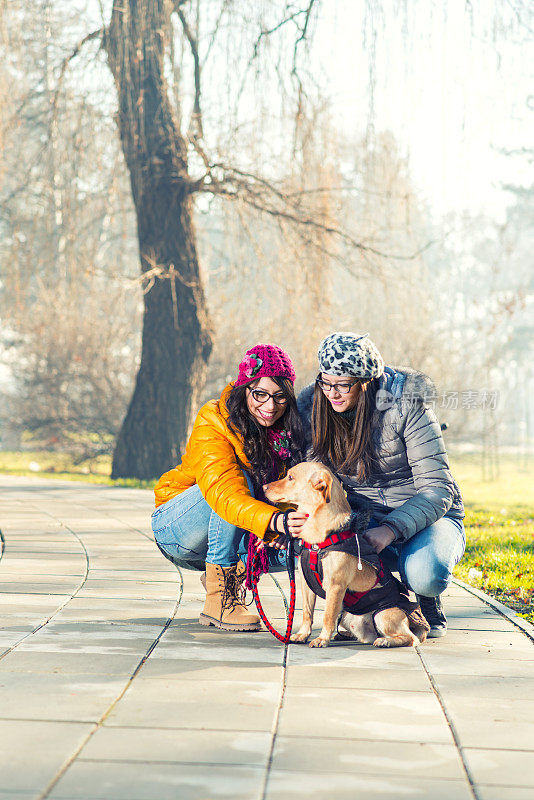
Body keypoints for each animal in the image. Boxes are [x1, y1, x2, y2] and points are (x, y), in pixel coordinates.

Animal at [264, 462, 432, 648]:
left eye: (290, 477)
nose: (264, 487)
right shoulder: (306, 584)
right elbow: (307, 613)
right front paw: (302, 634)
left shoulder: (335, 586)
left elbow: (327, 616)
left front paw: (322, 639)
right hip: (346, 614)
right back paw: (346, 635)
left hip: (383, 615)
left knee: (411, 638)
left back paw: (385, 641)